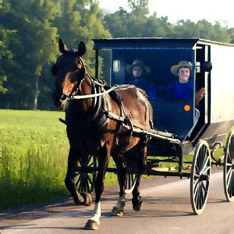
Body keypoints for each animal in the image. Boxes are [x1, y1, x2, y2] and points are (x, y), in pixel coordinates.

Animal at [51, 38, 154, 230]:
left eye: (78, 69)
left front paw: (94, 217)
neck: (87, 112)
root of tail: (141, 93)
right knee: (123, 172)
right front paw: (83, 197)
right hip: (119, 149)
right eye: (57, 67)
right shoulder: (76, 147)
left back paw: (136, 199)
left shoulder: (104, 149)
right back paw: (120, 204)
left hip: (142, 142)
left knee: (139, 168)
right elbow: (70, 180)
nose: (59, 97)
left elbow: (100, 183)